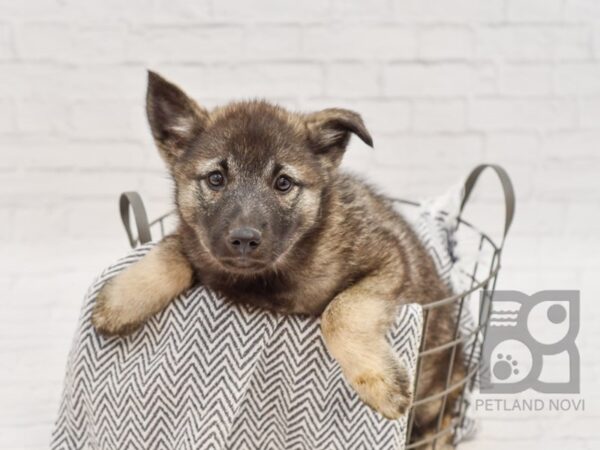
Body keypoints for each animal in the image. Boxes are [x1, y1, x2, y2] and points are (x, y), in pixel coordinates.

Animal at [92, 72, 464, 448]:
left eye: (283, 183)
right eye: (216, 178)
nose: (244, 239)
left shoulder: (391, 260)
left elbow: (339, 313)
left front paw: (379, 383)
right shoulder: (202, 247)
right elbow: (175, 249)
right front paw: (120, 301)